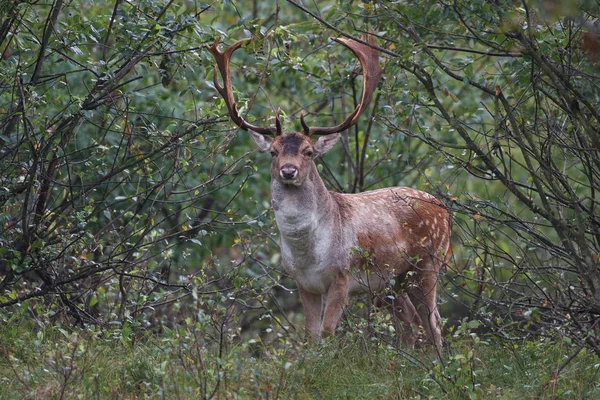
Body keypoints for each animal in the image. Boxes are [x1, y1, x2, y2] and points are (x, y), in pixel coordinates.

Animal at [206, 36, 450, 352]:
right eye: (273, 151)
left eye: (308, 152)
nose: (288, 170)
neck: (308, 254)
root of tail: (444, 208)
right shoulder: (302, 282)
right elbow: (310, 334)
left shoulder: (342, 275)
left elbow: (328, 331)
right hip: (393, 280)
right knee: (412, 321)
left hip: (430, 262)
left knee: (434, 322)